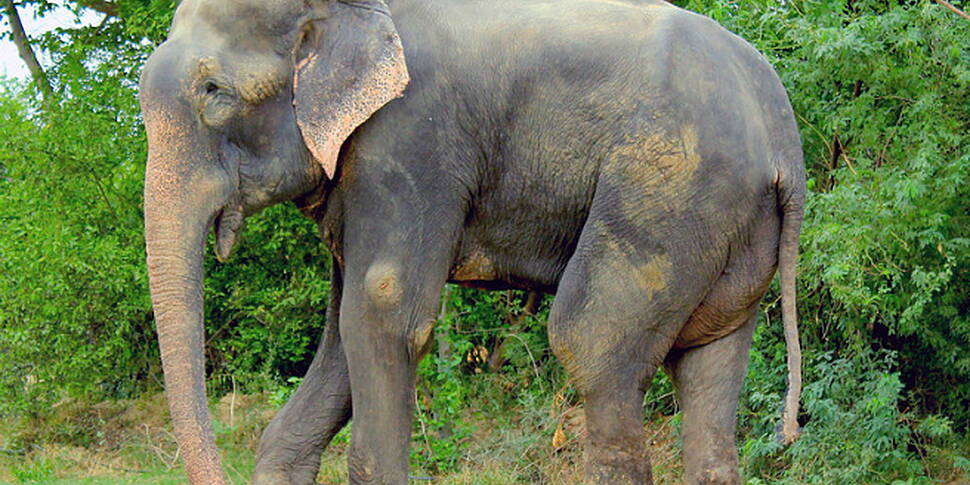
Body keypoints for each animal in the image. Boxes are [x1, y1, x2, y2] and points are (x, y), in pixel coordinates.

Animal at [138, 0, 805, 483]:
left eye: (214, 93)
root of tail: (784, 136)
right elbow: (343, 338)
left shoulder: (410, 140)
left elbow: (383, 312)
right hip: (732, 228)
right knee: (708, 361)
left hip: (671, 190)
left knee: (590, 343)